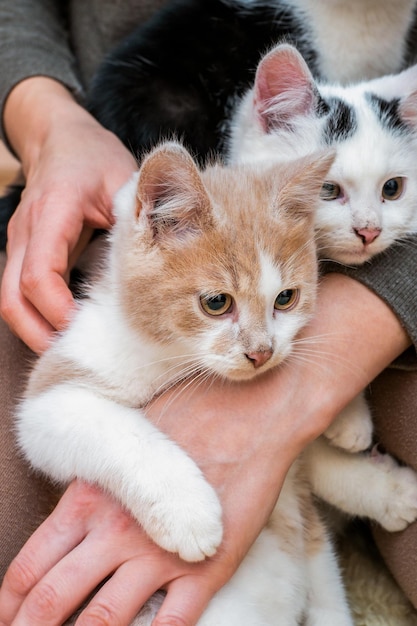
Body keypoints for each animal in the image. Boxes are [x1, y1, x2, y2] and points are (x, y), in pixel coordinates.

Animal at [17, 143, 417, 624]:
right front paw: (188, 512)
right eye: (216, 303)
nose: (262, 352)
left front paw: (377, 473)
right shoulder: (54, 395)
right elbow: (117, 431)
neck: (173, 356)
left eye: (286, 298)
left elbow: (310, 458)